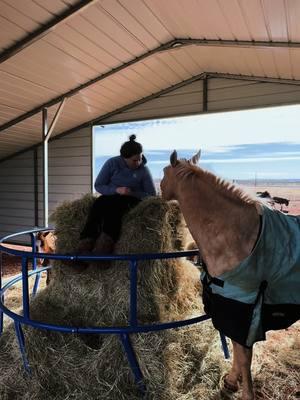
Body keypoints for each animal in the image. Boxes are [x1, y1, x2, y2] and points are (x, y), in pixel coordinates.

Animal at [162, 151, 300, 400]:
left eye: (164, 172)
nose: (158, 190)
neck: (237, 235)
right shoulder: (228, 307)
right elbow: (236, 349)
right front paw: (231, 381)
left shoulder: (244, 311)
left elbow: (244, 355)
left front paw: (245, 392)